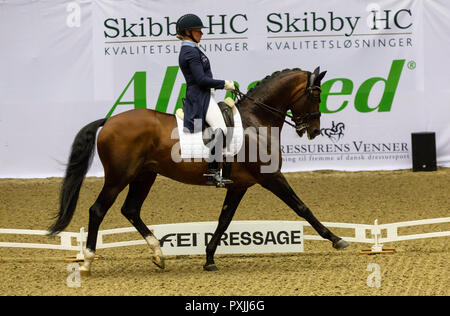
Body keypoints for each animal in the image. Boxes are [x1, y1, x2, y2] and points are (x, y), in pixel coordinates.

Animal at [50, 67, 352, 274]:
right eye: (316, 95)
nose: (313, 131)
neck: (256, 122)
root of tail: (109, 120)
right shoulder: (270, 177)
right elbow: (301, 207)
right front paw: (336, 239)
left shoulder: (239, 185)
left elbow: (224, 220)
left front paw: (208, 259)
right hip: (119, 176)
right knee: (98, 210)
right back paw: (87, 262)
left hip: (144, 175)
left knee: (131, 209)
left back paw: (159, 254)